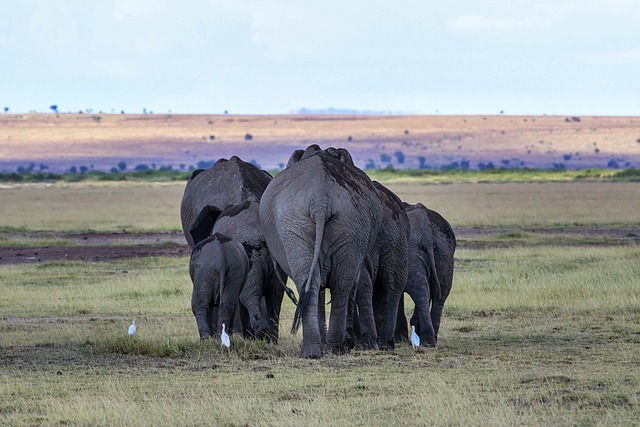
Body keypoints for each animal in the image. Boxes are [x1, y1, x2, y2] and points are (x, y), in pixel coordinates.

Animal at [258, 145, 382, 360]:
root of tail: (321, 199)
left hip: (321, 222)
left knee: (321, 282)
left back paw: (320, 350)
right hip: (343, 222)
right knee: (337, 282)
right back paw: (326, 349)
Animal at [396, 204, 456, 348]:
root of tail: (428, 236)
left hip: (413, 252)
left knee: (421, 292)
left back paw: (427, 340)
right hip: (445, 252)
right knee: (440, 293)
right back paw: (431, 339)